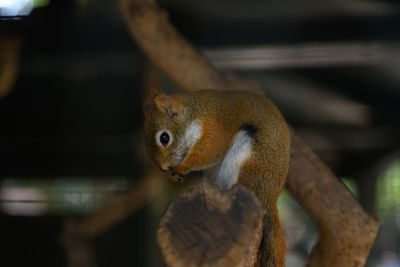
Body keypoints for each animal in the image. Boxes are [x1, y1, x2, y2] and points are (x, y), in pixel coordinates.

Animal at [144, 90, 290, 267]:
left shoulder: (215, 125)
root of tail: (270, 197)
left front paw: (181, 168)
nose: (164, 168)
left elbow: (211, 149)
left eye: (164, 138)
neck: (193, 112)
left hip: (249, 158)